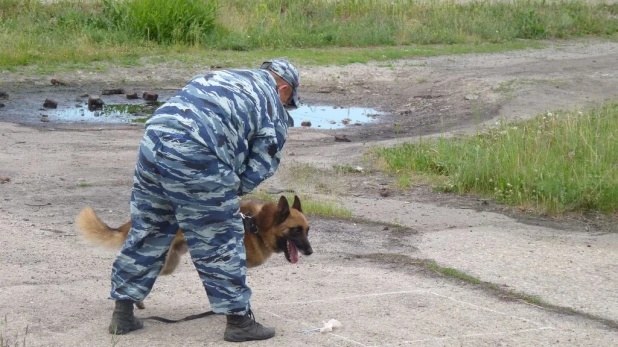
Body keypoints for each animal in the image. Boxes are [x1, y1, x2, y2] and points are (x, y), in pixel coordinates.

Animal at [74, 196, 310, 310]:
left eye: (307, 230)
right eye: (295, 230)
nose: (310, 251)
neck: (257, 225)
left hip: (168, 263)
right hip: (161, 260)